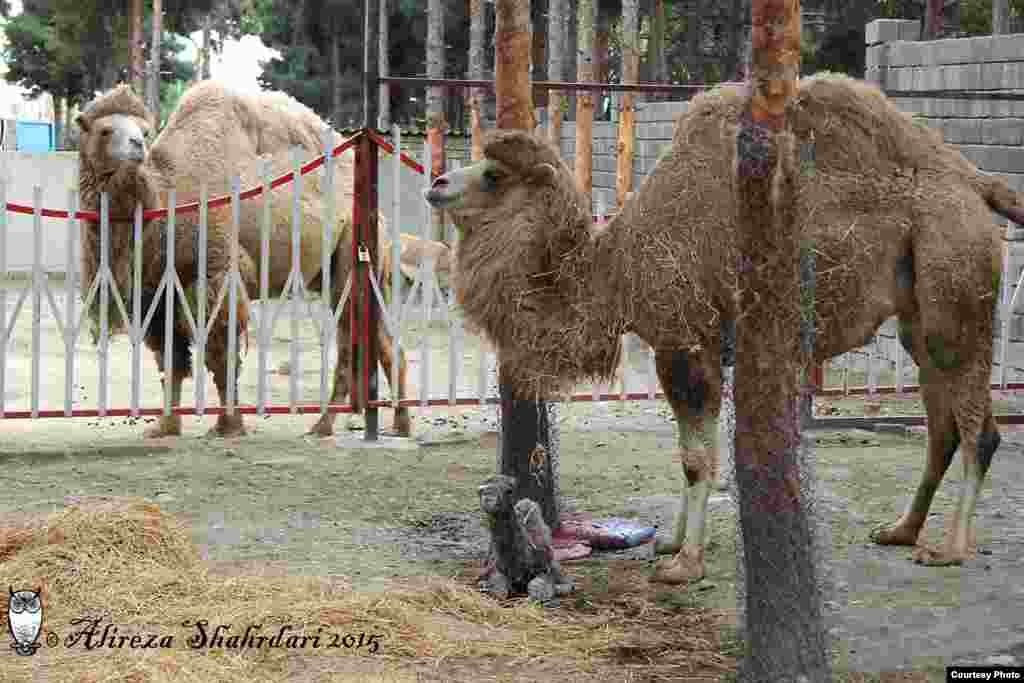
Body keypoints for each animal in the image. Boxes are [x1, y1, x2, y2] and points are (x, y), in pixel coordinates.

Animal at [419, 76, 1019, 589]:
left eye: (494, 176)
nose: (437, 184)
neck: (617, 268)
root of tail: (977, 183)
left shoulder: (686, 342)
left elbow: (695, 458)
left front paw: (685, 563)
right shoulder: (683, 346)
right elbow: (690, 453)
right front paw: (672, 544)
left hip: (954, 283)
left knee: (978, 426)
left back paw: (950, 548)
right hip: (919, 314)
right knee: (942, 425)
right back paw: (901, 530)